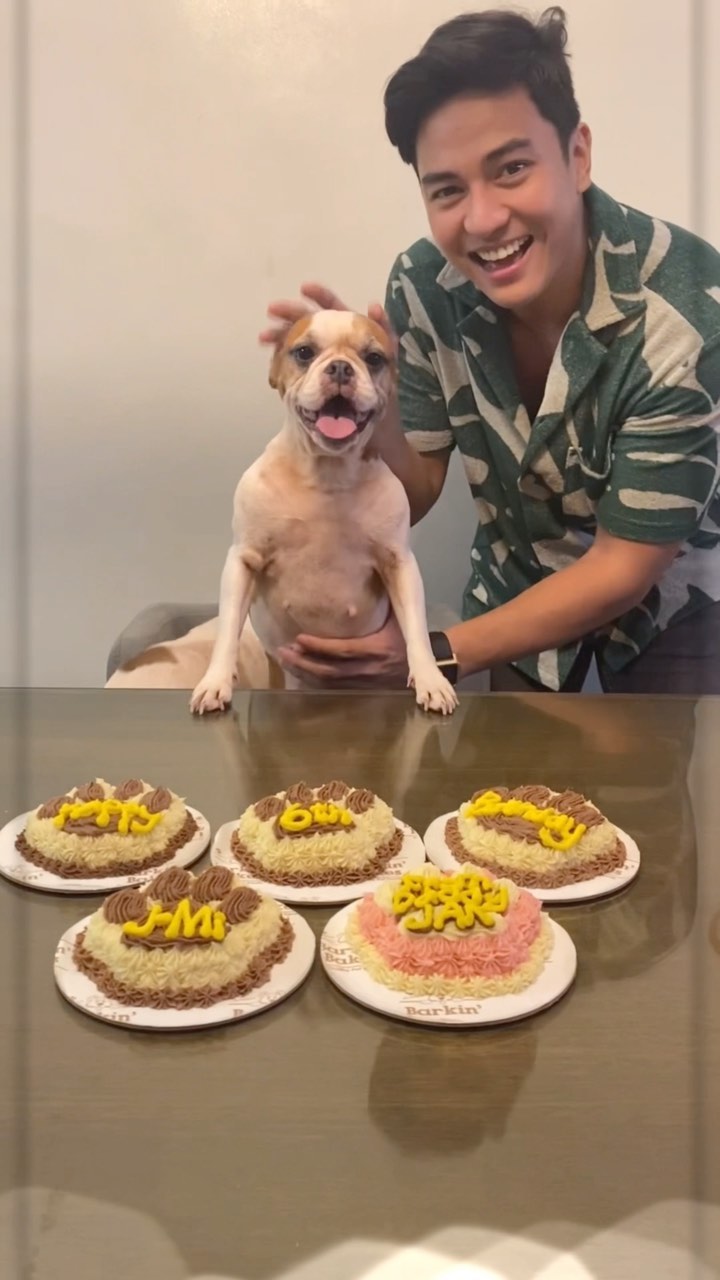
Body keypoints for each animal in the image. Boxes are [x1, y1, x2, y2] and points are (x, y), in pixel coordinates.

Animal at [188, 309, 457, 715]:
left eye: (374, 358)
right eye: (304, 352)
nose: (342, 368)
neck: (327, 472)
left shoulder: (400, 565)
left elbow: (416, 631)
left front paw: (431, 680)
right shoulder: (242, 561)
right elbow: (228, 630)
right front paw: (215, 681)